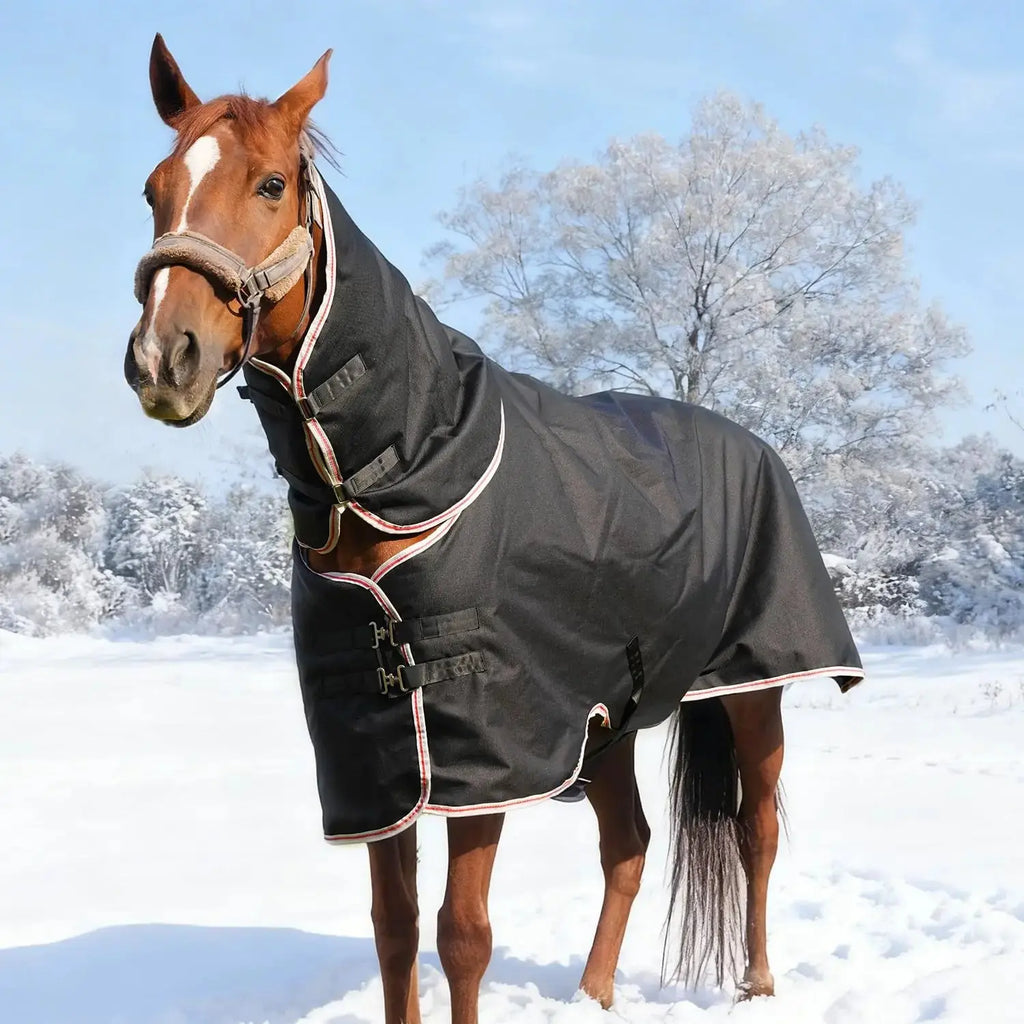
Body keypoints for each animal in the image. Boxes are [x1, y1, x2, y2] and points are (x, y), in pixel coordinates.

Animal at [125, 35, 864, 1023]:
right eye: (155, 188)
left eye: (272, 184)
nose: (164, 359)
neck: (405, 469)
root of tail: (752, 442)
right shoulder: (384, 761)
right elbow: (396, 933)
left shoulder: (487, 760)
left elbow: (462, 938)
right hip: (606, 724)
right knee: (629, 845)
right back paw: (593, 994)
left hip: (755, 687)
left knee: (757, 830)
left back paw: (756, 984)